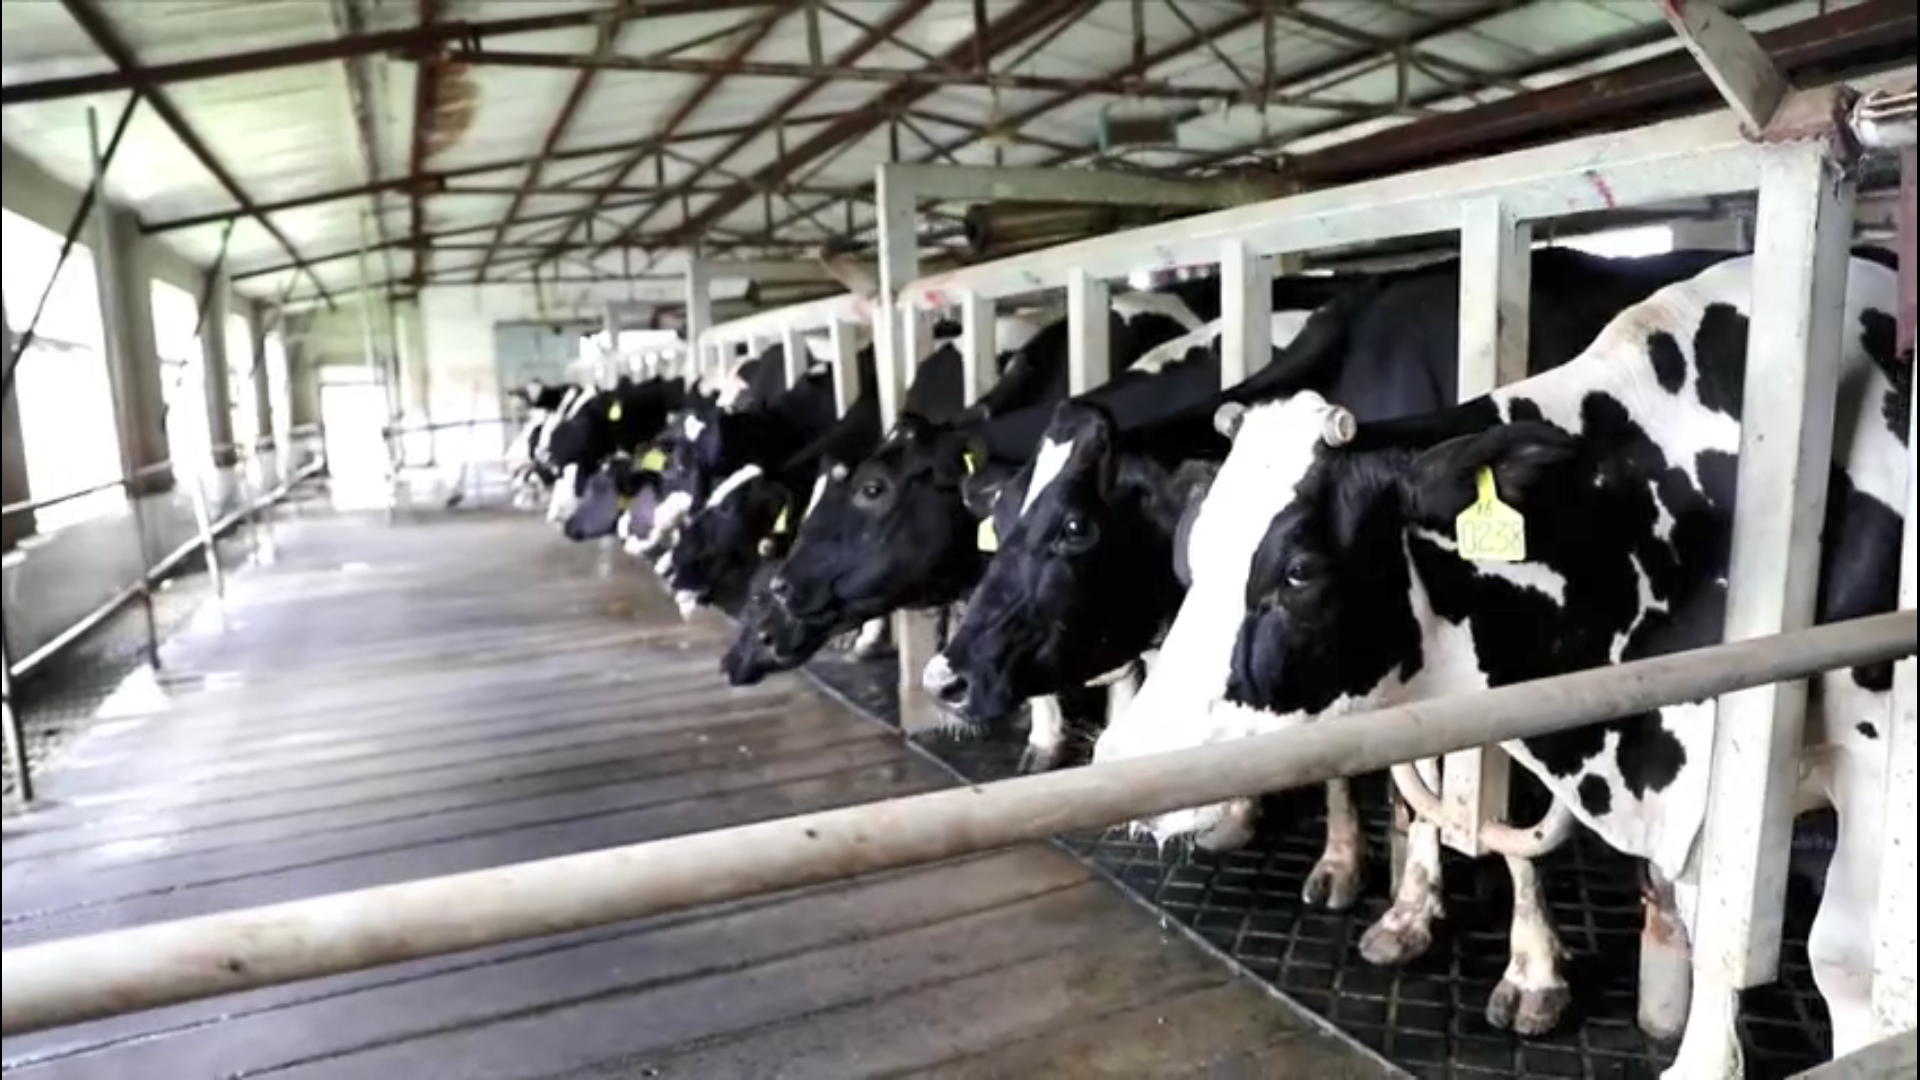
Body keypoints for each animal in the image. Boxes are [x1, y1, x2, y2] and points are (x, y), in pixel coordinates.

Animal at [1088, 253, 1907, 1075]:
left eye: (1298, 571)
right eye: (1188, 552)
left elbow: (1844, 960)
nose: (1121, 758)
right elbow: (1716, 920)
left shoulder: (1868, 760)